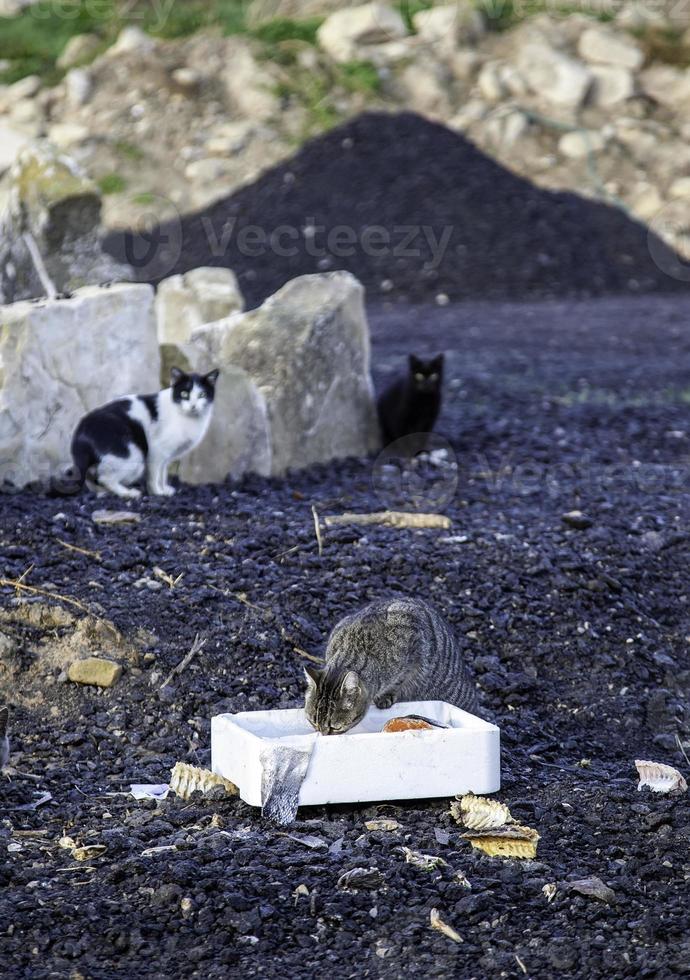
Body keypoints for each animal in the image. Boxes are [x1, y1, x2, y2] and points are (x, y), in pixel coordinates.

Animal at [70, 366, 218, 498]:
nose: (193, 406)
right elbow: (154, 474)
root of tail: (81, 430)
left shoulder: (165, 457)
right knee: (104, 477)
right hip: (134, 456)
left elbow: (163, 474)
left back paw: (103, 493)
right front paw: (157, 492)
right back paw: (127, 493)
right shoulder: (157, 451)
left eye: (202, 395)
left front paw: (164, 489)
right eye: (184, 394)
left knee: (92, 477)